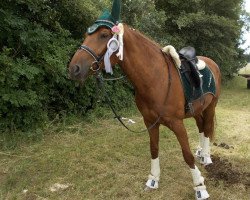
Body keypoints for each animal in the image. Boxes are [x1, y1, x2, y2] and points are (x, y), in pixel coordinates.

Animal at [68, 24, 221, 198]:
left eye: (104, 35)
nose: (74, 68)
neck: (157, 78)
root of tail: (211, 62)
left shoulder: (177, 124)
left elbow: (187, 155)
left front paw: (200, 187)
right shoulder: (150, 122)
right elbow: (154, 149)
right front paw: (153, 181)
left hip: (211, 107)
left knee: (207, 128)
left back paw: (206, 158)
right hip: (197, 110)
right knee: (202, 127)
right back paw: (201, 153)